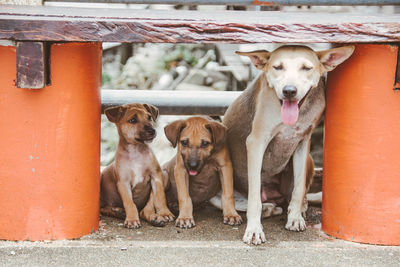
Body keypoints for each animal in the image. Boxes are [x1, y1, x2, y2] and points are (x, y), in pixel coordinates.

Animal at [223, 45, 354, 245]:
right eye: (278, 67)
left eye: (306, 68)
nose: (289, 91)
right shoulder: (256, 142)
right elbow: (254, 198)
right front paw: (254, 229)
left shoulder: (302, 142)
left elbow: (298, 189)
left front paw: (295, 217)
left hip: (309, 160)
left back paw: (299, 207)